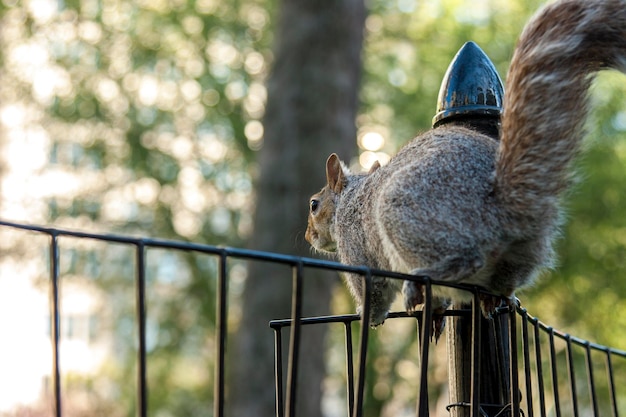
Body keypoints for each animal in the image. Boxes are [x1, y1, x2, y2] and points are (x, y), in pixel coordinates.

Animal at [304, 0, 624, 328]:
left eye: (314, 205)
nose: (308, 237)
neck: (349, 198)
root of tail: (506, 209)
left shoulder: (356, 249)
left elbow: (374, 291)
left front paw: (367, 316)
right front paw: (435, 313)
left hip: (406, 214)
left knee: (467, 259)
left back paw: (423, 281)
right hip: (516, 256)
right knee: (501, 283)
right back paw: (493, 298)